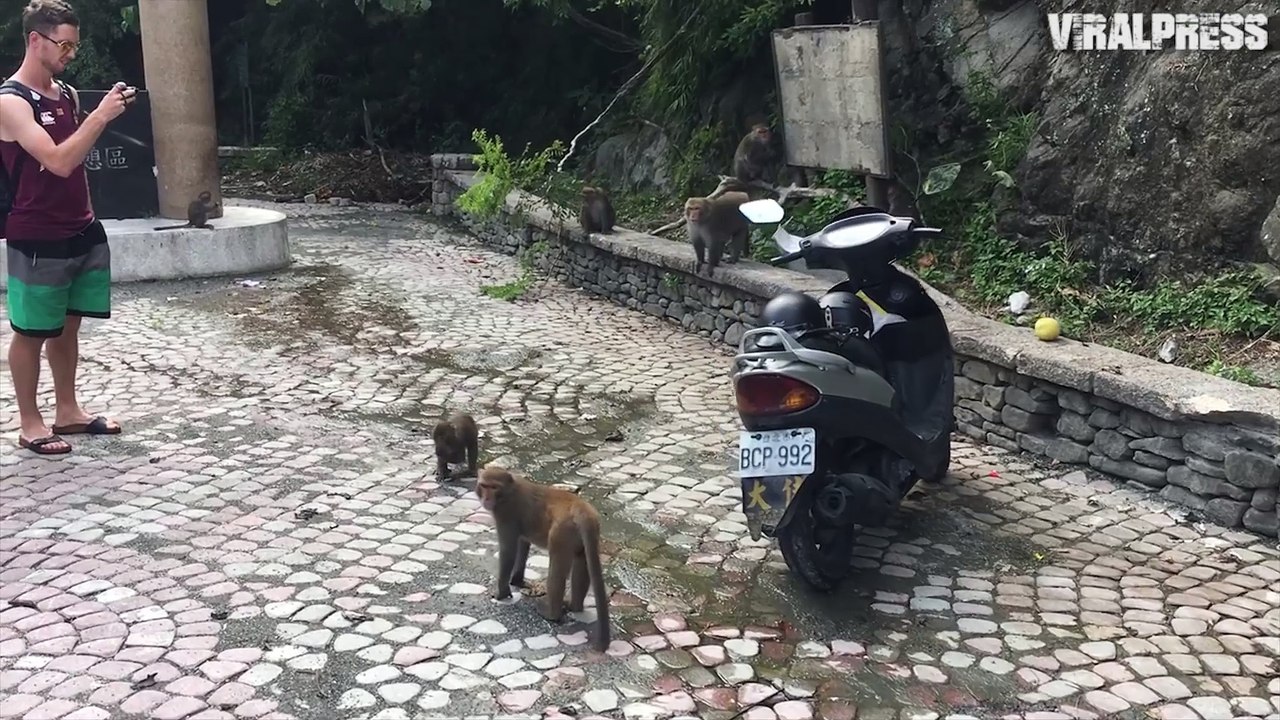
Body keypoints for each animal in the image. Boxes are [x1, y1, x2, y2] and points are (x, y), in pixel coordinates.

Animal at [475, 464, 610, 652]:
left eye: (494, 487)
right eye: (484, 485)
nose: (487, 498)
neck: (508, 491)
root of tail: (581, 509)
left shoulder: (505, 513)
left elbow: (508, 550)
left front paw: (501, 593)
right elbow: (523, 543)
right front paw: (517, 580)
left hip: (561, 533)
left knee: (556, 569)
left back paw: (551, 613)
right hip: (582, 535)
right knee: (581, 562)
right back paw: (574, 605)